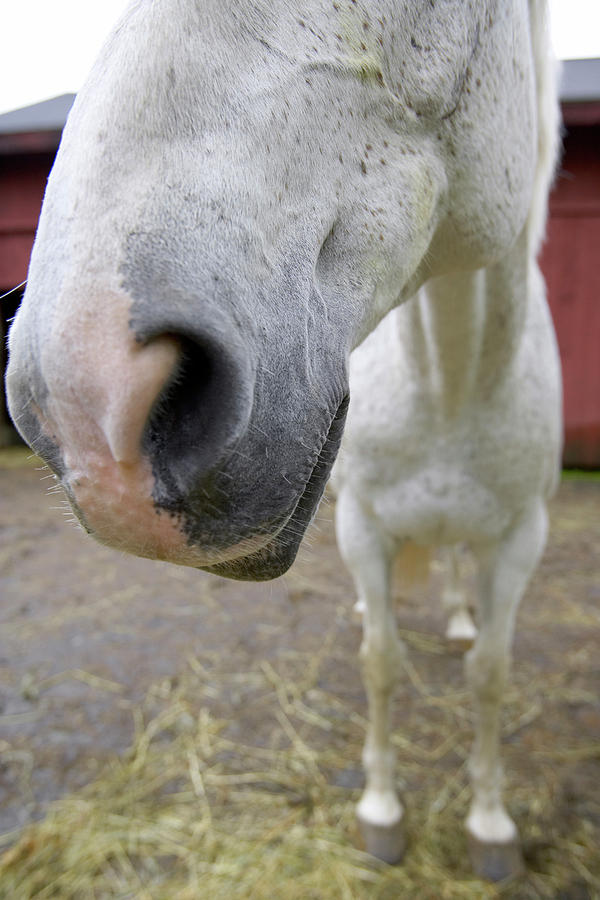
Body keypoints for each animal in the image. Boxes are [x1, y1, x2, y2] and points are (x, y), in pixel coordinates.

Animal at [5, 0, 560, 879]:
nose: (92, 402)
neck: (451, 386)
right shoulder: (363, 526)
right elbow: (380, 661)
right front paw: (381, 811)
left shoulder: (519, 538)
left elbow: (490, 678)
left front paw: (490, 824)